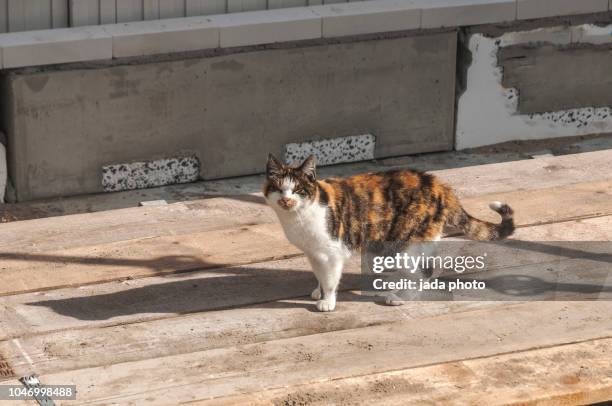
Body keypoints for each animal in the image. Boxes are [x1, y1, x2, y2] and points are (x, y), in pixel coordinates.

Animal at [260, 154, 512, 312]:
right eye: (278, 189)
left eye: (298, 190)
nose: (286, 200)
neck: (299, 216)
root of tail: (440, 186)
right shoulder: (313, 253)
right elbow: (319, 276)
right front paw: (318, 291)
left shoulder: (331, 252)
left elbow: (330, 279)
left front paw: (327, 301)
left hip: (408, 240)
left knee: (424, 272)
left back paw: (398, 297)